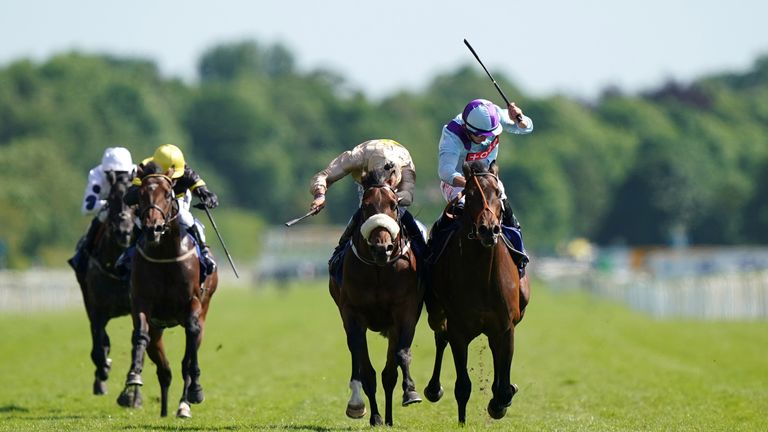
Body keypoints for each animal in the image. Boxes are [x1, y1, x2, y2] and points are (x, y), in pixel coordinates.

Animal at [117, 165, 219, 418]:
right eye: (141, 194)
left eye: (167, 194)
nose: (153, 227)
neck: (164, 253)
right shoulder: (142, 302)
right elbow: (140, 333)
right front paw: (133, 376)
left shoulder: (193, 301)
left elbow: (191, 339)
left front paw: (196, 391)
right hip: (158, 330)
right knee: (164, 370)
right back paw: (163, 409)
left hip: (204, 309)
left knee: (186, 360)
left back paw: (184, 404)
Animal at [328, 165, 426, 426]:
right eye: (365, 206)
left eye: (393, 204)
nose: (382, 248)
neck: (380, 269)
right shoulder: (353, 314)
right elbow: (365, 368)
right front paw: (366, 411)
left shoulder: (404, 311)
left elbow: (400, 357)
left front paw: (410, 392)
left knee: (390, 372)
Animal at [424, 160, 532, 424]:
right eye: (470, 194)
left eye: (498, 193)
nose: (488, 229)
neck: (482, 276)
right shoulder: (459, 331)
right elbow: (462, 385)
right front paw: (462, 421)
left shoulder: (506, 327)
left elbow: (502, 381)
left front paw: (501, 401)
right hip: (436, 314)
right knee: (440, 336)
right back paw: (433, 389)